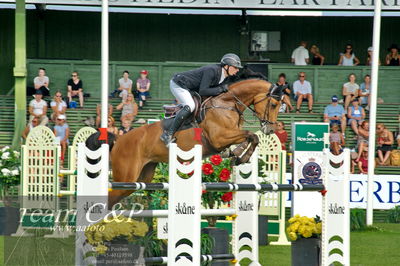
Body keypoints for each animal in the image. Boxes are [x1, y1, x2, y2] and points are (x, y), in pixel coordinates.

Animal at [98, 76, 282, 207]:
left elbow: (250, 137)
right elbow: (251, 135)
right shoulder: (219, 138)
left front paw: (236, 155)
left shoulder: (228, 136)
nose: (270, 130)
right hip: (126, 177)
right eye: (273, 104)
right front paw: (240, 156)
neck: (227, 103)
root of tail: (119, 140)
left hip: (141, 177)